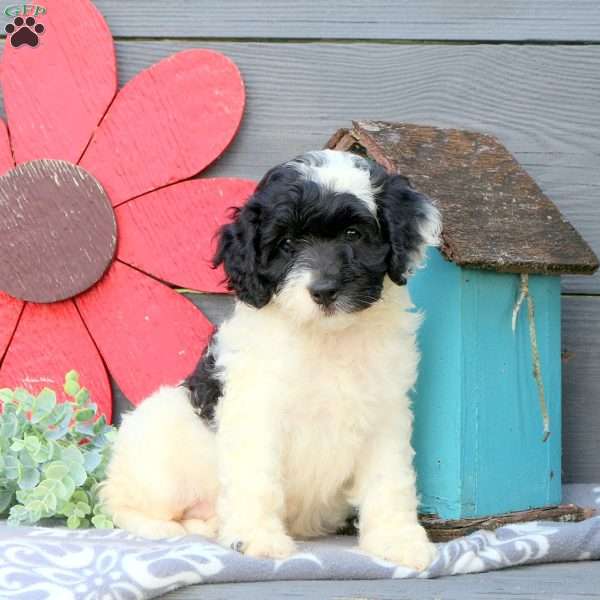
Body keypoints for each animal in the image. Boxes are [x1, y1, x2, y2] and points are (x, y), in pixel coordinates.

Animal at [102, 148, 440, 568]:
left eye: (353, 234)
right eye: (288, 243)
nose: (324, 290)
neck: (326, 336)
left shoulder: (385, 414)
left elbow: (389, 480)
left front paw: (397, 540)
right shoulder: (256, 410)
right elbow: (257, 477)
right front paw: (256, 538)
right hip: (159, 448)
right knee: (122, 501)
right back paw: (166, 528)